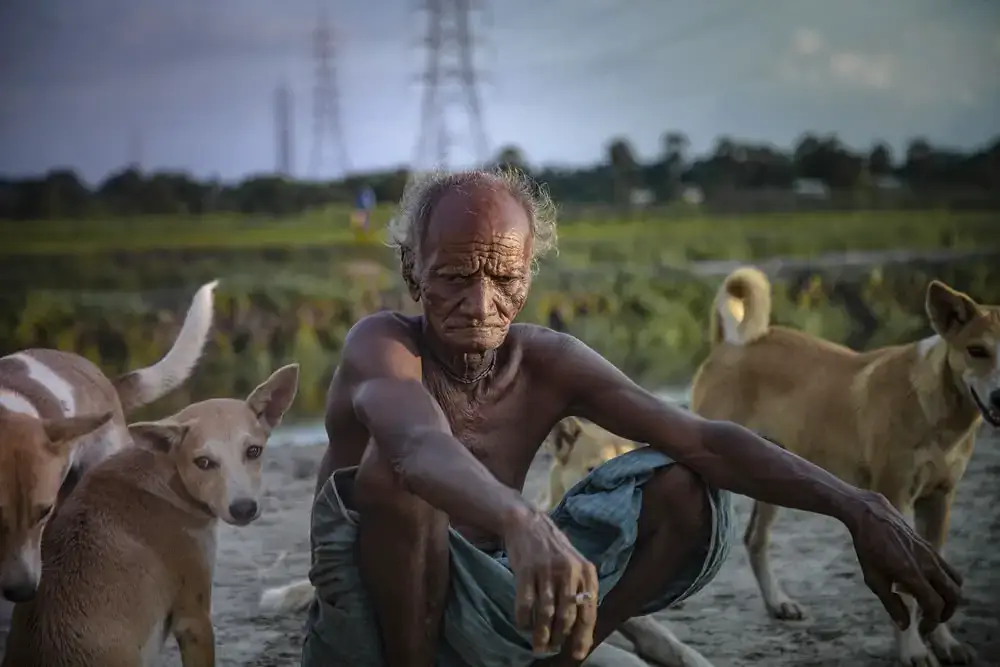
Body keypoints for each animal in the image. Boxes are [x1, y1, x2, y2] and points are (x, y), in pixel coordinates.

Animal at [688, 268, 992, 667]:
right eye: (978, 350)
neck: (937, 407)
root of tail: (729, 344)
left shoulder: (940, 500)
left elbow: (936, 574)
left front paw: (944, 643)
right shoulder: (896, 501)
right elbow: (905, 591)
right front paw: (913, 649)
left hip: (770, 472)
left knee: (756, 539)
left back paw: (778, 603)